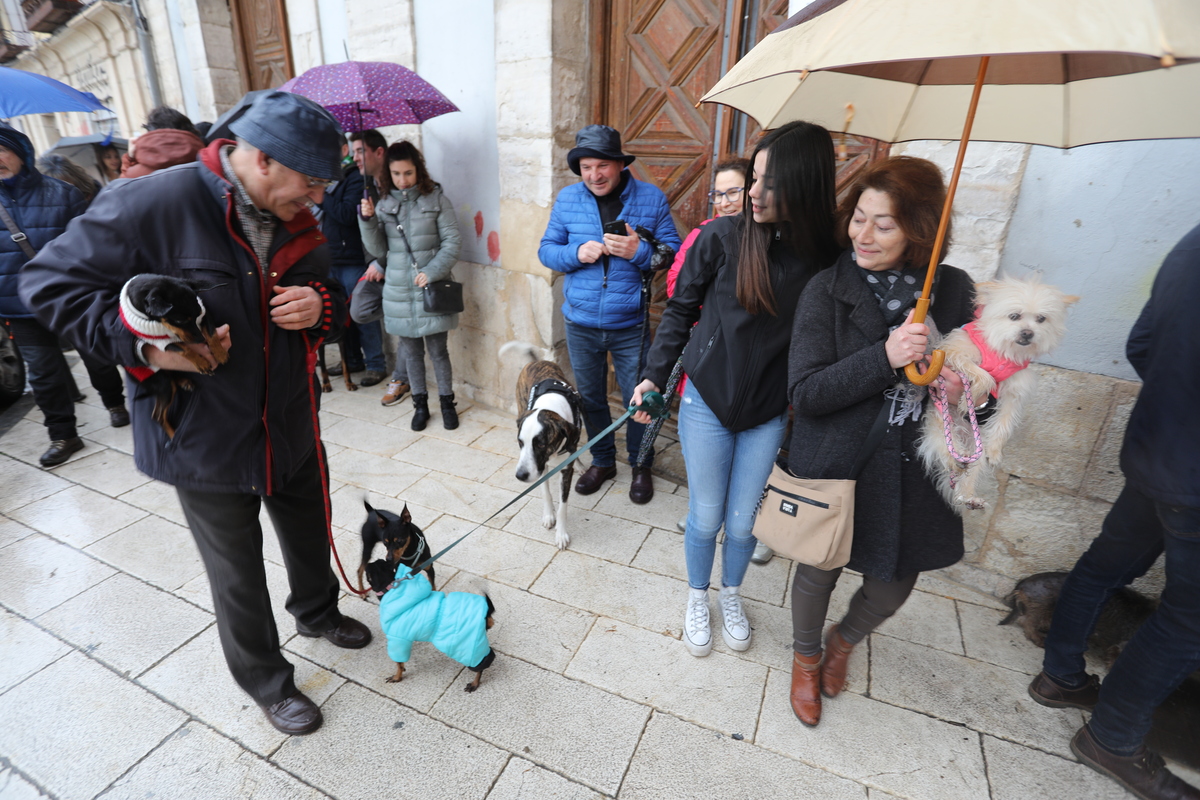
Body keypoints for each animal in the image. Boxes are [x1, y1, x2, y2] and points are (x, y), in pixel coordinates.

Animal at [499, 338, 583, 551]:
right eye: (520, 442)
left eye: (541, 444)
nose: (520, 476)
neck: (550, 406)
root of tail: (536, 362)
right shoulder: (539, 466)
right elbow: (545, 492)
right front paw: (548, 515)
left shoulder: (563, 468)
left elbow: (563, 505)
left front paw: (561, 534)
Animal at [916, 278, 1080, 510]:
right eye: (1014, 316)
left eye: (1041, 319)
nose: (1028, 333)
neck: (1003, 353)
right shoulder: (954, 354)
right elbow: (985, 376)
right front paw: (969, 399)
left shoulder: (1015, 391)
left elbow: (1004, 422)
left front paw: (994, 450)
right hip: (941, 423)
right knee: (946, 446)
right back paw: (956, 459)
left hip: (976, 449)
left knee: (969, 474)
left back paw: (968, 497)